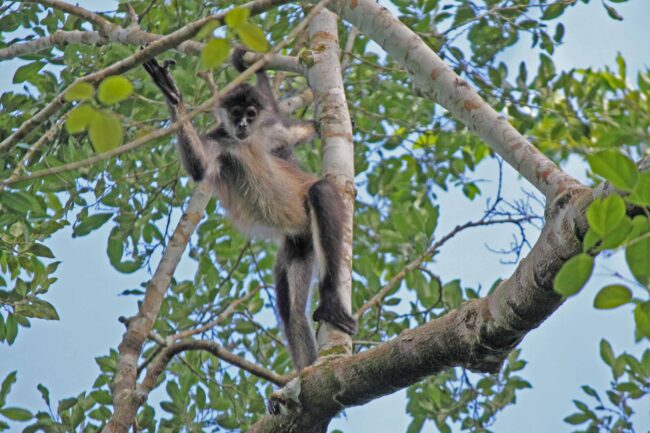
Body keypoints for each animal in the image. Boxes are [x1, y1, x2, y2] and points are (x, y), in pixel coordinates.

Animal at [142, 50, 356, 372]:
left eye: (250, 114)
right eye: (235, 114)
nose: (242, 125)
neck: (243, 142)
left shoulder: (267, 132)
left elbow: (297, 129)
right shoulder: (219, 141)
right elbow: (200, 167)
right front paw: (172, 96)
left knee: (321, 192)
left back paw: (330, 302)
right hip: (298, 245)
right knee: (291, 312)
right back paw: (307, 376)